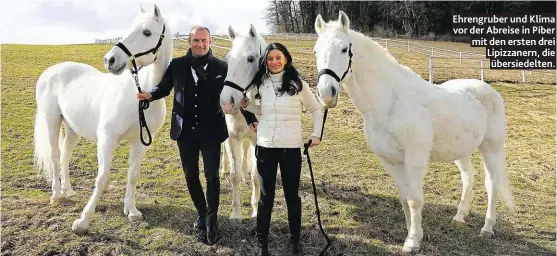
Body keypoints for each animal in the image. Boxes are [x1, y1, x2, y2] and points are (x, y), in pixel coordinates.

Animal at [33, 4, 172, 236]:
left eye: (147, 32)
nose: (110, 60)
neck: (140, 95)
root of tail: (51, 71)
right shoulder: (107, 139)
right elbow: (102, 179)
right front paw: (82, 222)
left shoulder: (140, 142)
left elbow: (133, 175)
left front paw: (132, 211)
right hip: (52, 121)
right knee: (55, 156)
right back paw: (56, 195)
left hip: (73, 129)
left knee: (65, 156)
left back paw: (68, 190)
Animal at [219, 24, 268, 220]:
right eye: (228, 58)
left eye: (251, 58)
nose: (227, 102)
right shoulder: (233, 137)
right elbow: (234, 175)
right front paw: (236, 213)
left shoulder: (257, 141)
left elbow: (256, 176)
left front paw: (255, 210)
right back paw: (224, 168)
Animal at [310, 11, 516, 253]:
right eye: (316, 51)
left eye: (344, 49)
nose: (327, 94)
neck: (390, 101)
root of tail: (488, 90)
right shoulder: (391, 161)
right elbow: (404, 199)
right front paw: (411, 234)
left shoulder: (415, 158)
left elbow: (415, 200)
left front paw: (413, 242)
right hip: (460, 150)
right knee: (468, 177)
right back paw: (459, 217)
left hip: (491, 148)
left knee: (491, 184)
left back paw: (487, 228)